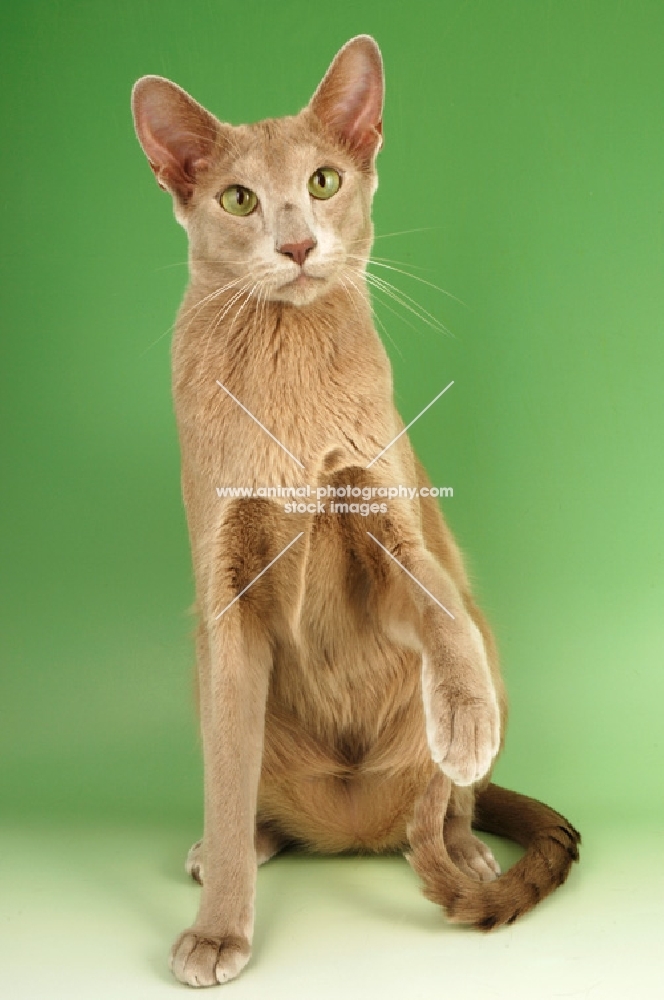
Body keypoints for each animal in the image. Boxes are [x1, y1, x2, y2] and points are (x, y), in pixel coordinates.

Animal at [131, 35, 580, 988]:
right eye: (240, 199)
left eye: (325, 181)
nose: (298, 243)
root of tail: (348, 829)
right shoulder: (228, 587)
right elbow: (227, 774)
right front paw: (219, 930)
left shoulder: (387, 524)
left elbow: (435, 604)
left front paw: (465, 721)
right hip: (202, 671)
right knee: (247, 790)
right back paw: (241, 844)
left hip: (480, 669)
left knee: (450, 798)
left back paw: (465, 839)